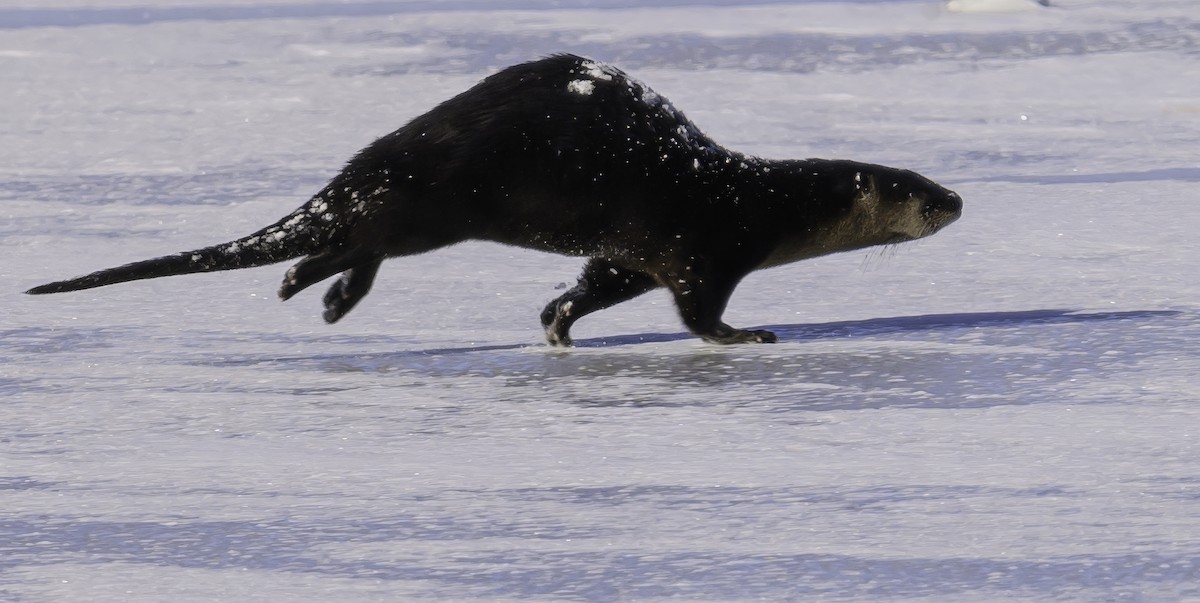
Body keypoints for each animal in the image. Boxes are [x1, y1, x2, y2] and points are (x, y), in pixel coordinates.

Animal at [26, 53, 962, 345]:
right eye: (914, 190)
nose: (957, 199)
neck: (754, 201)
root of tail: (369, 161)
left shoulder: (631, 252)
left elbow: (596, 283)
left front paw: (556, 322)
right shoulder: (706, 245)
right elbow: (700, 313)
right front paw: (750, 335)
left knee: (356, 243)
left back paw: (326, 298)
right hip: (432, 203)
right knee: (351, 236)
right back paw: (304, 285)